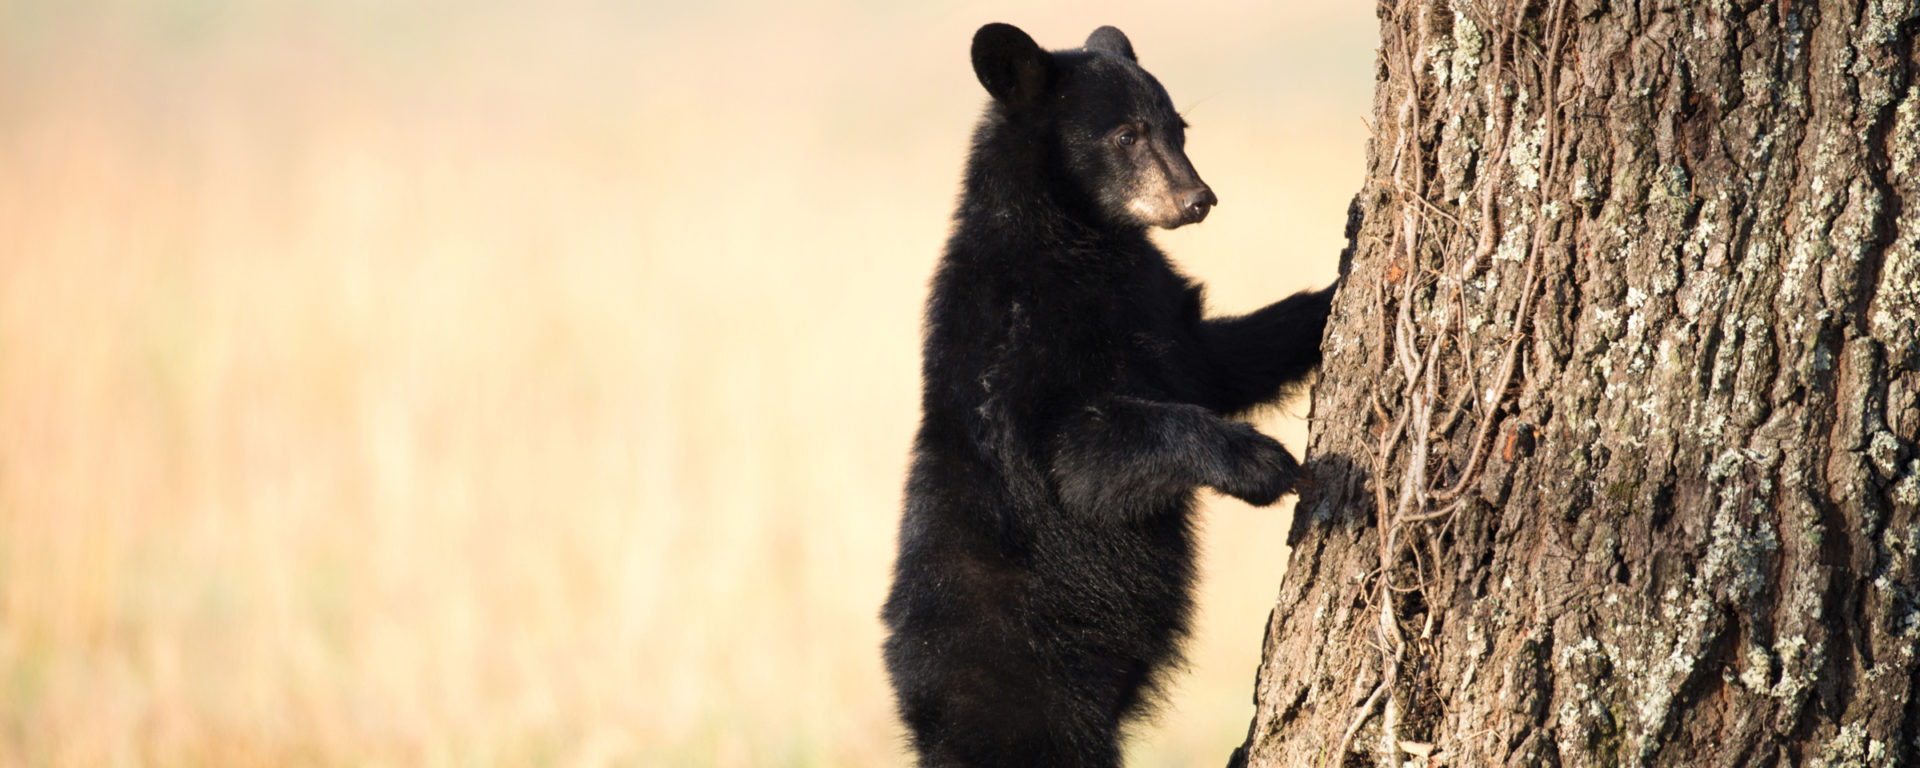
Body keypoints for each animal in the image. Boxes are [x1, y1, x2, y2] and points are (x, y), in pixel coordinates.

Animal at [879, 22, 1336, 768]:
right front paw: (1260, 461)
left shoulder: (1154, 311)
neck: (1080, 242)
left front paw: (1335, 287)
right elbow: (1082, 459)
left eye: (1179, 127)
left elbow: (1219, 361)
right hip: (1033, 695)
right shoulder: (1021, 349)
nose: (1199, 200)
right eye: (1125, 135)